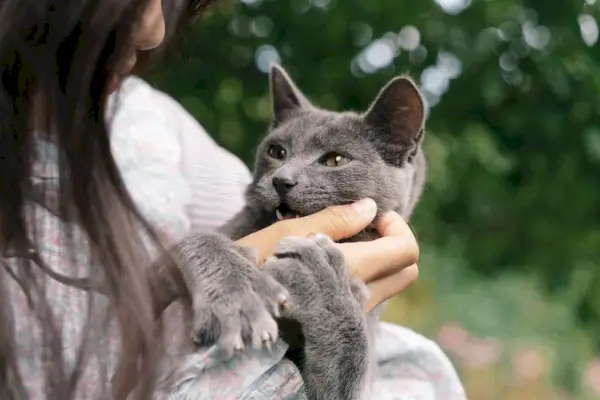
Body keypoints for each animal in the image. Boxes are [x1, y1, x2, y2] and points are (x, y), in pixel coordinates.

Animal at [166, 65, 424, 400]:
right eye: (277, 151)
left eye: (335, 160)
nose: (281, 180)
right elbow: (200, 242)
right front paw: (237, 295)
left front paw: (322, 282)